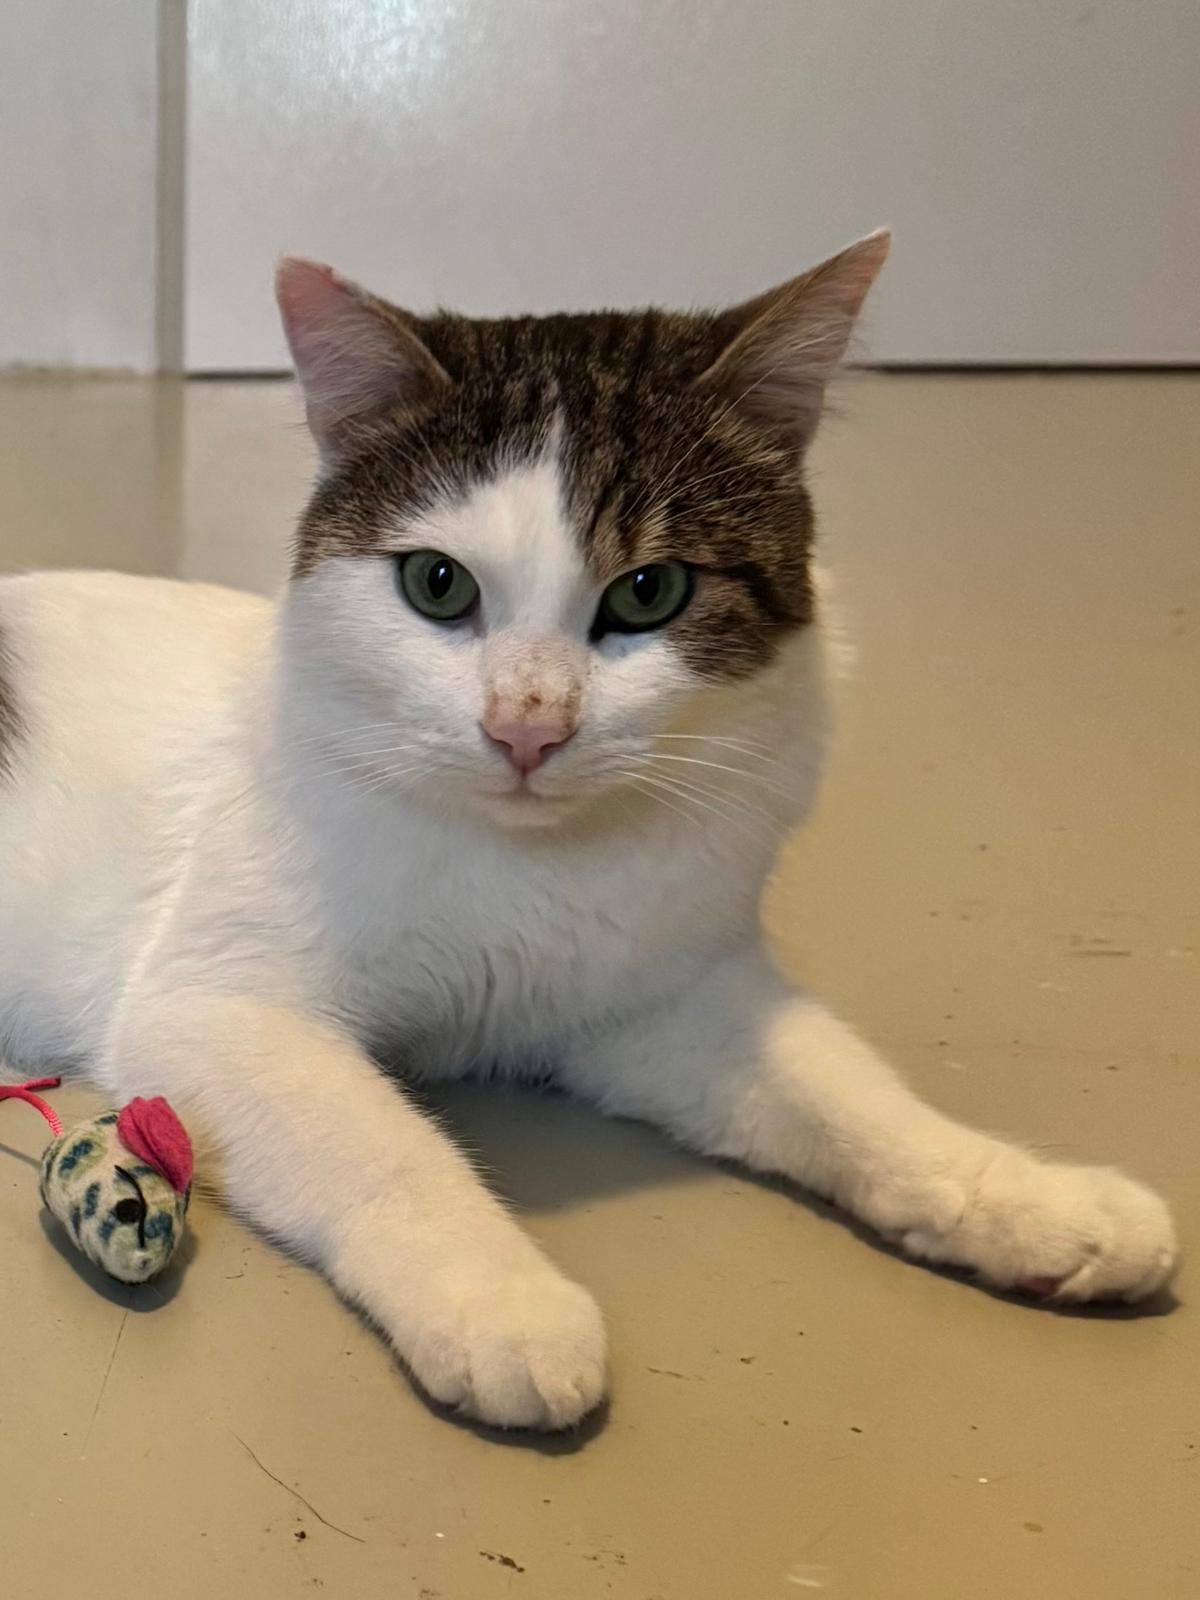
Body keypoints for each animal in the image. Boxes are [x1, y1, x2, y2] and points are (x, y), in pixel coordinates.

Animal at [0, 232, 1176, 1429]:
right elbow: (380, 1144)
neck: (533, 868)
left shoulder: (662, 999)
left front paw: (1031, 1199)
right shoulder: (216, 1008)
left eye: (650, 591)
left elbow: (852, 1095)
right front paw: (499, 1300)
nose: (528, 725)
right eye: (436, 583)